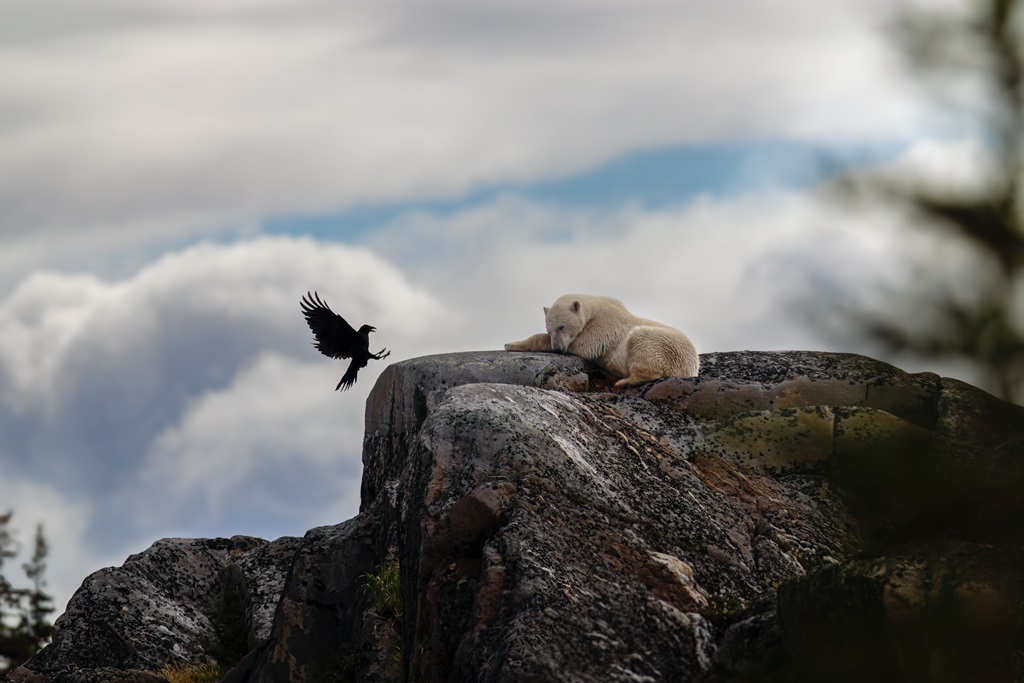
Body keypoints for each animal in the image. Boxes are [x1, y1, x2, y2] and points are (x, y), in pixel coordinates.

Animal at [504, 294, 699, 387]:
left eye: (561, 327)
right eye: (549, 329)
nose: (559, 349)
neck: (595, 308)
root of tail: (692, 367)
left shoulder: (605, 325)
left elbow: (584, 345)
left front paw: (511, 344)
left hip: (666, 346)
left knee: (642, 340)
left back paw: (625, 381)